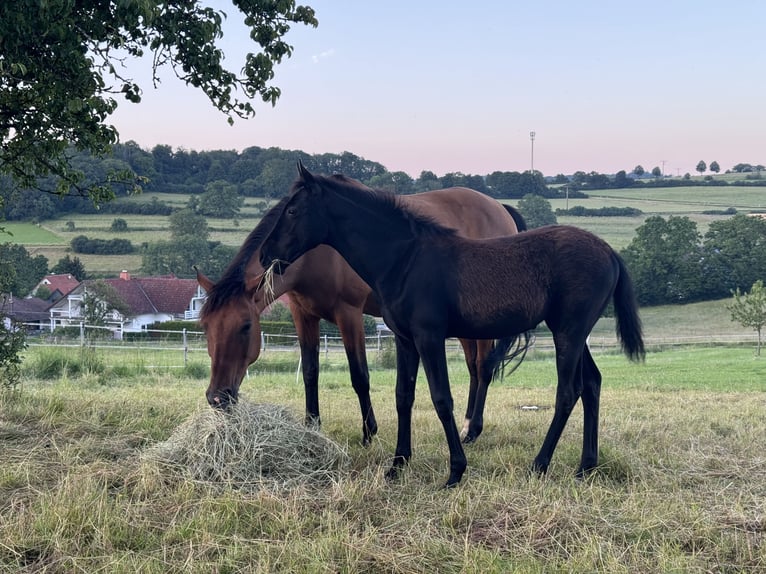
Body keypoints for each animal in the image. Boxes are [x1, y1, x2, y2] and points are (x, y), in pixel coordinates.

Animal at [196, 174, 528, 446]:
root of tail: (500, 208)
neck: (318, 250)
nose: (216, 398)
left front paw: (369, 432)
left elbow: (360, 376)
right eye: (205, 327)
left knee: (483, 366)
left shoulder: (349, 314)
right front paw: (312, 426)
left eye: (246, 326)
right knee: (473, 366)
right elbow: (311, 372)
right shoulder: (303, 315)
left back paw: (473, 430)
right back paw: (467, 423)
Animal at [260, 164, 644, 488]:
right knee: (591, 384)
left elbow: (442, 398)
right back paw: (585, 466)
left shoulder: (429, 337)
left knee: (568, 391)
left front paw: (455, 471)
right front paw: (397, 465)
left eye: (292, 211)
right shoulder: (405, 340)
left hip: (568, 332)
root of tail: (609, 252)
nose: (265, 255)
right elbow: (403, 397)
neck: (405, 259)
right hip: (576, 334)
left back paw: (539, 464)